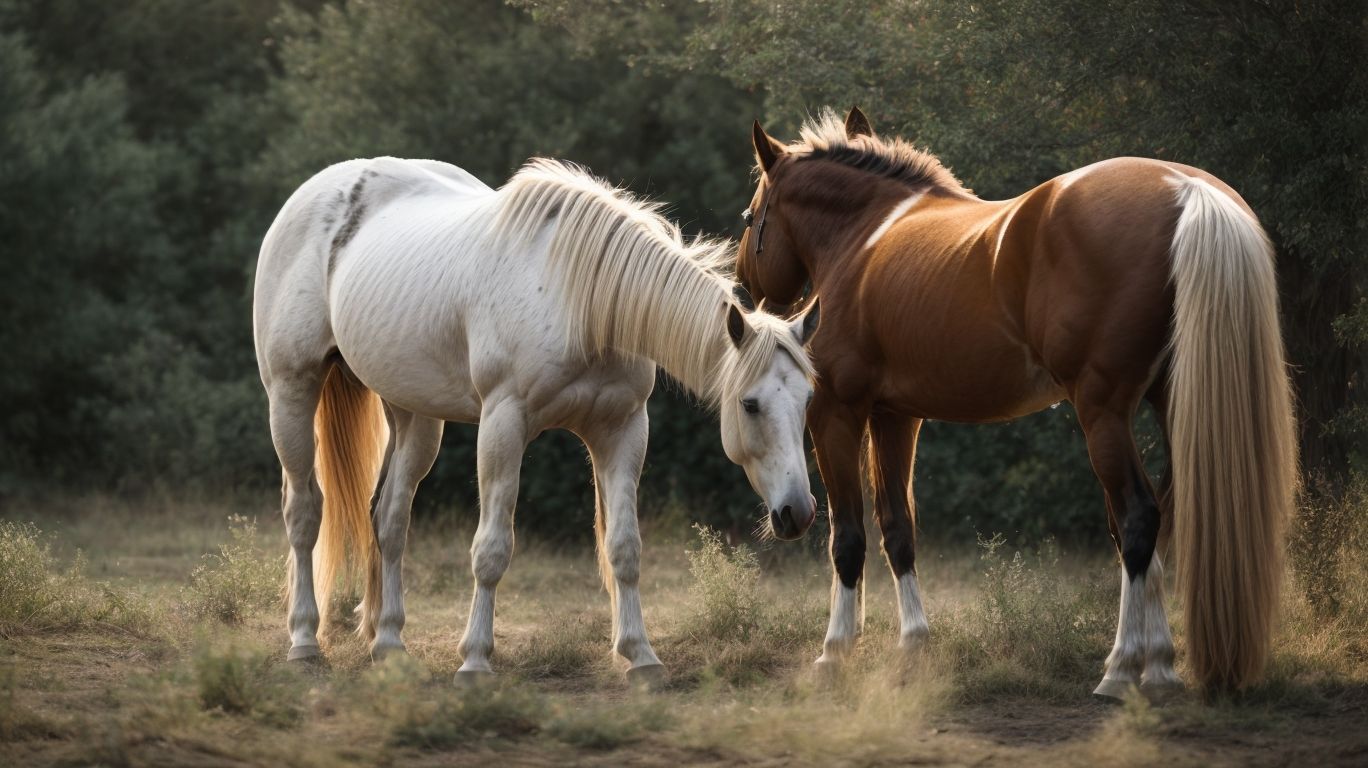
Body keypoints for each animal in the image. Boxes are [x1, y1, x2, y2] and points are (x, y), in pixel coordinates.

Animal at [253, 156, 819, 684]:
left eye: (808, 400)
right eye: (750, 404)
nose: (798, 512)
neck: (584, 300)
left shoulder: (623, 430)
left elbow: (624, 548)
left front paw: (641, 656)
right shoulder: (504, 424)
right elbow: (492, 548)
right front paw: (475, 661)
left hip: (414, 415)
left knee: (389, 520)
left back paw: (389, 643)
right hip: (291, 392)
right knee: (304, 512)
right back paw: (304, 641)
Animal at [735, 108, 1296, 697]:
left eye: (751, 216)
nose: (746, 286)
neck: (866, 235)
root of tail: (1183, 187)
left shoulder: (837, 412)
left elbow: (847, 535)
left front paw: (835, 652)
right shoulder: (896, 416)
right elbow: (897, 528)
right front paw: (913, 646)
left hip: (1103, 413)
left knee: (1137, 519)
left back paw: (1121, 667)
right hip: (1165, 405)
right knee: (1160, 521)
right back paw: (1160, 667)